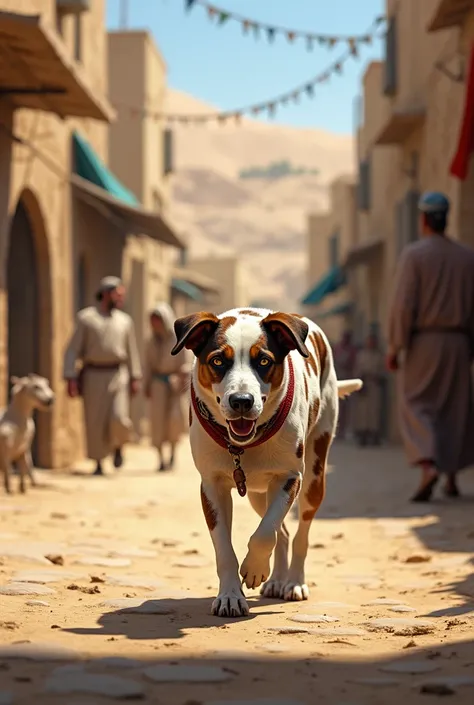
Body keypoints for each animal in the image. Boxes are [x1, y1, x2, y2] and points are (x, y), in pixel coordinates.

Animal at [171, 308, 362, 616]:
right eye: (217, 361)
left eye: (264, 361)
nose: (241, 401)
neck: (242, 445)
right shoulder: (212, 485)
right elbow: (225, 546)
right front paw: (230, 595)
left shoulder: (289, 476)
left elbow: (264, 534)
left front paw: (254, 569)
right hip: (257, 494)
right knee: (281, 531)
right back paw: (276, 580)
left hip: (313, 476)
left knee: (298, 533)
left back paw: (293, 582)